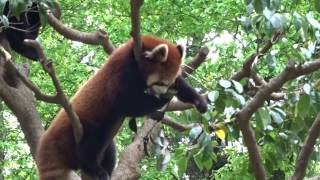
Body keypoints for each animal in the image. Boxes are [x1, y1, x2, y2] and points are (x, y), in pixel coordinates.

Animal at [35, 34, 208, 179]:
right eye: (160, 83)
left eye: (169, 83)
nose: (163, 93)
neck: (131, 52)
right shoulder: (119, 76)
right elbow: (130, 105)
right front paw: (161, 101)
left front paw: (198, 100)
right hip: (77, 130)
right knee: (89, 145)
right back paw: (93, 168)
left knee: (109, 149)